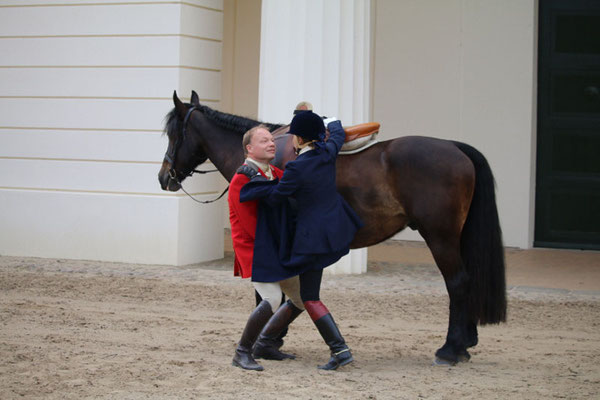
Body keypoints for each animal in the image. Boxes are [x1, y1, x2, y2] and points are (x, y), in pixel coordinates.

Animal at [159, 90, 506, 366]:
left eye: (174, 135)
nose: (164, 176)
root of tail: (454, 147)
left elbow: (268, 296)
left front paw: (266, 342)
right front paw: (273, 340)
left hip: (440, 237)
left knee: (458, 283)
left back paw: (450, 349)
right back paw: (466, 342)